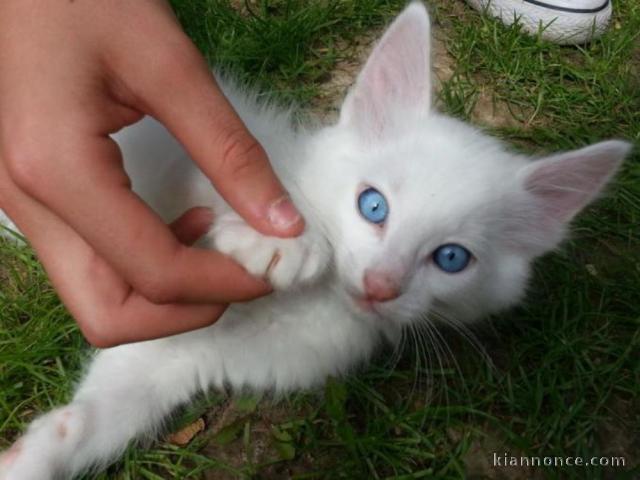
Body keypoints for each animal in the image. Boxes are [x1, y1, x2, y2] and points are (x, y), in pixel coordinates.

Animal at [0, 1, 632, 478]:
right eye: (372, 205)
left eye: (452, 258)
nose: (380, 285)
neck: (316, 304)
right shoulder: (212, 158)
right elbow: (219, 181)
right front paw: (287, 240)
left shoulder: (186, 355)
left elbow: (106, 412)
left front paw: (33, 458)